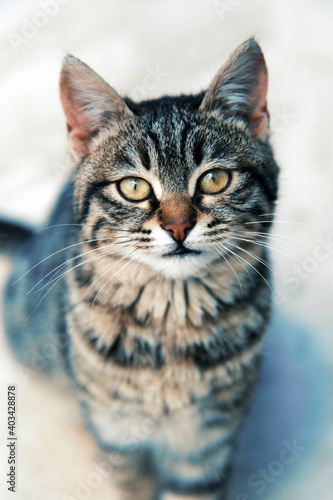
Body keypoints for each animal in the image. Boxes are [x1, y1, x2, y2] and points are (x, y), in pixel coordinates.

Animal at [5, 40, 278, 500]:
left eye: (215, 180)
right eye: (133, 187)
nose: (179, 226)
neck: (172, 316)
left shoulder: (205, 443)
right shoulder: (118, 434)